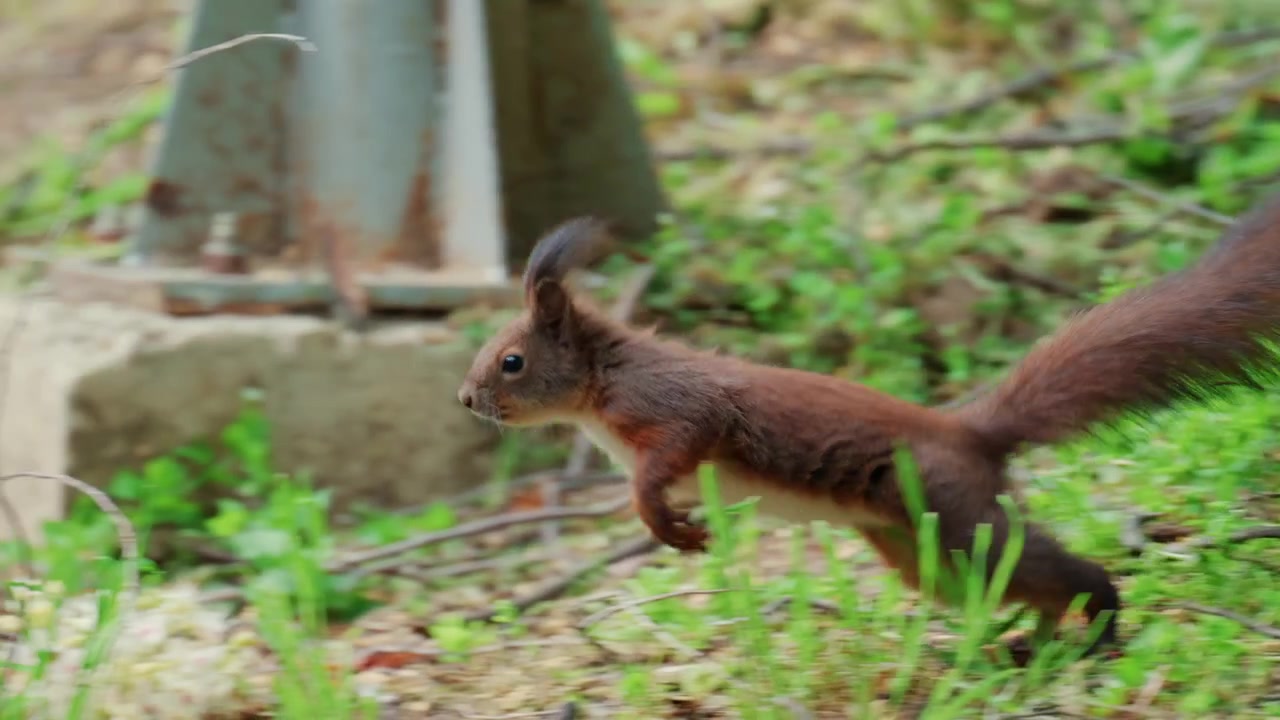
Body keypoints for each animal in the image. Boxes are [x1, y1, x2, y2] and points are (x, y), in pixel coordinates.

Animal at [457, 196, 1280, 661]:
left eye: (511, 361)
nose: (466, 400)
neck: (601, 391)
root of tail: (971, 434)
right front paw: (684, 529)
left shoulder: (678, 408)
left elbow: (669, 460)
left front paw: (665, 524)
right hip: (923, 553)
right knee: (1013, 587)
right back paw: (1032, 648)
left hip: (955, 513)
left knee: (1058, 571)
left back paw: (1100, 627)